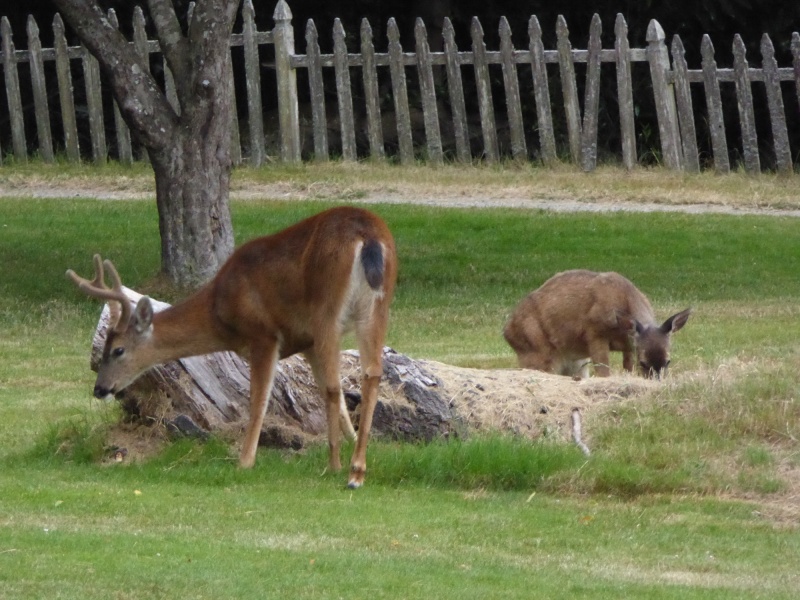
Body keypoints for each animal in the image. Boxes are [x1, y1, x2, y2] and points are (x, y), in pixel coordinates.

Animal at [67, 206, 397, 488]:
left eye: (118, 350)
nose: (100, 389)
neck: (219, 310)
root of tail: (367, 236)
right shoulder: (306, 343)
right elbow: (340, 402)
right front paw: (358, 444)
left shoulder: (264, 335)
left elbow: (259, 402)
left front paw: (245, 461)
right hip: (377, 304)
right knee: (370, 373)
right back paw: (356, 468)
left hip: (326, 308)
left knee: (333, 386)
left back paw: (337, 467)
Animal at [503, 270, 691, 379]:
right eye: (643, 363)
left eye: (668, 361)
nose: (656, 381)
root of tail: (506, 331)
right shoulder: (594, 333)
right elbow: (603, 371)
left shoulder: (629, 346)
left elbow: (627, 367)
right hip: (536, 353)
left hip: (575, 362)